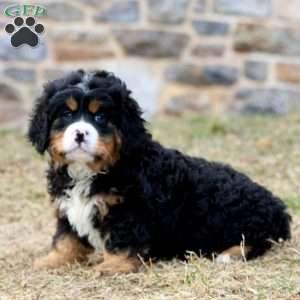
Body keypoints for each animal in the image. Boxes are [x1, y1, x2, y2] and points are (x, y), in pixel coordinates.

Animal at [28, 69, 290, 274]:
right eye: (66, 114)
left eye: (100, 116)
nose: (80, 134)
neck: (94, 171)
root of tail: (279, 207)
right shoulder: (66, 207)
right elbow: (66, 238)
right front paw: (52, 260)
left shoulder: (129, 210)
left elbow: (123, 239)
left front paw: (113, 265)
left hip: (245, 220)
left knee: (257, 240)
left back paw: (229, 254)